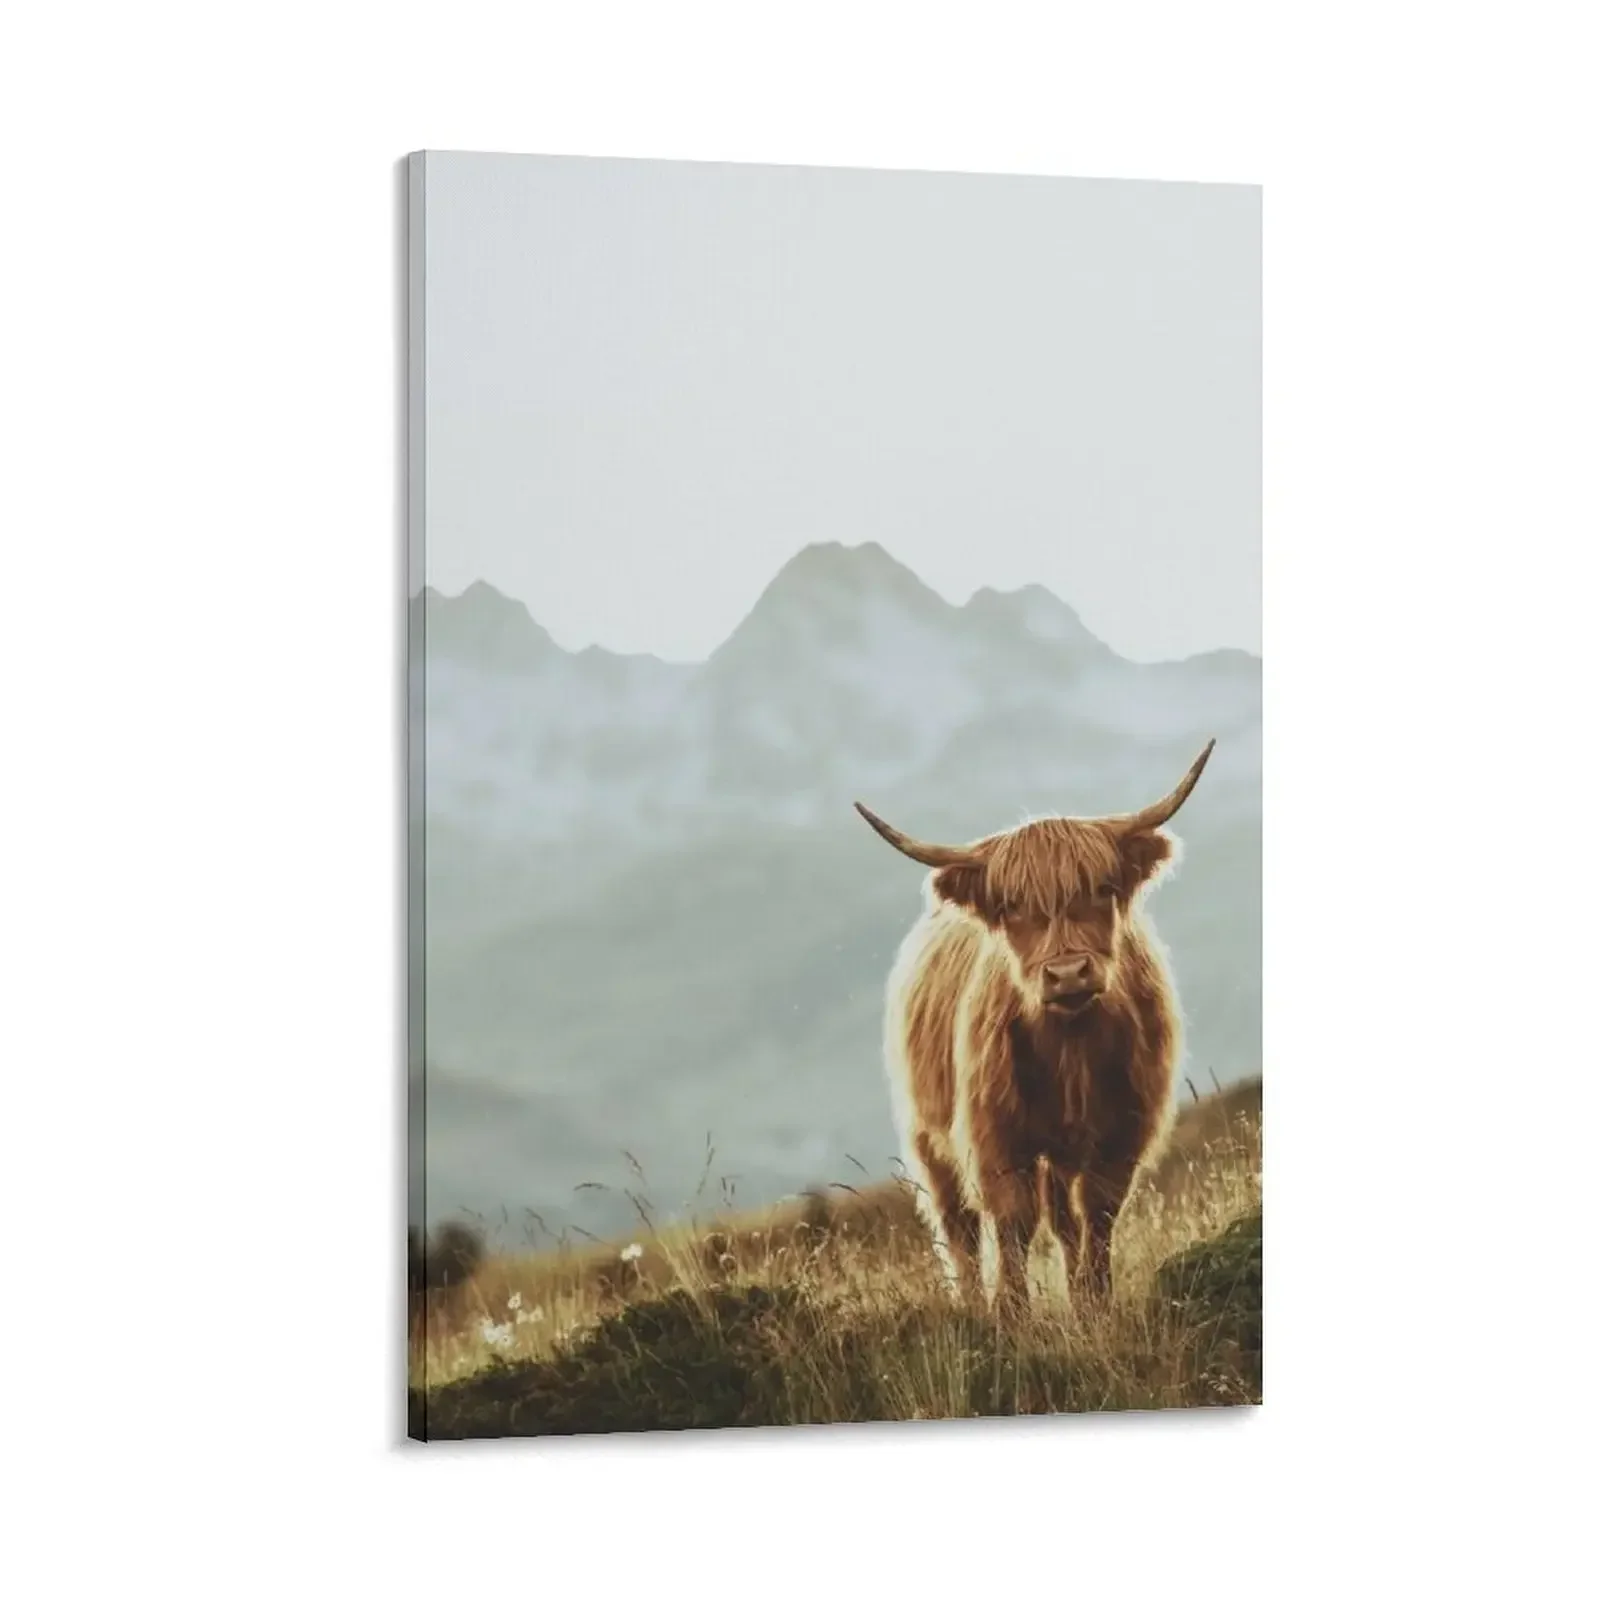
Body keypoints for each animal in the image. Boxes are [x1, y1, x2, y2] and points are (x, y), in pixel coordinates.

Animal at [854, 740, 1214, 1315]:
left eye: (1103, 888)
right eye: (1009, 907)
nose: (1067, 973)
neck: (1072, 1046)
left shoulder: (1123, 1132)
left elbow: (1097, 1214)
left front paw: (1094, 1302)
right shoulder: (994, 1136)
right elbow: (1012, 1222)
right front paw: (1012, 1312)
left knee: (1063, 1216)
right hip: (927, 1137)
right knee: (958, 1227)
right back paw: (973, 1304)